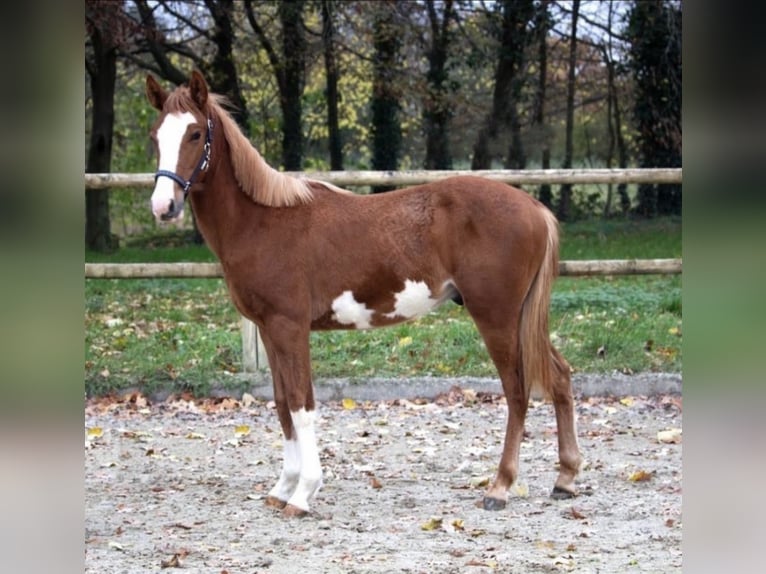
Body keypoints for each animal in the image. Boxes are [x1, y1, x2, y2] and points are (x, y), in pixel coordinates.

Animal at [147, 71, 584, 516]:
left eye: (195, 134)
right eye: (156, 136)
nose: (163, 206)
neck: (263, 221)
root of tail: (535, 208)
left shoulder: (290, 328)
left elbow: (301, 405)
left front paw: (303, 494)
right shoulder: (269, 330)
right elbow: (283, 404)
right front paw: (283, 487)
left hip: (497, 317)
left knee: (517, 392)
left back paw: (499, 487)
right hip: (521, 318)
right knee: (560, 377)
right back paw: (565, 478)